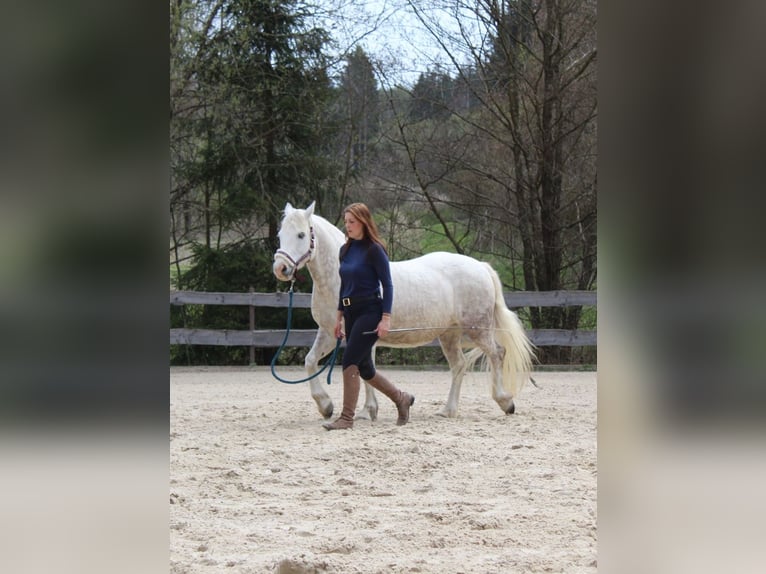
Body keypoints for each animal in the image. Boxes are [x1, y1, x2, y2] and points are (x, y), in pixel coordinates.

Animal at [272, 201, 535, 420]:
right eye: (280, 235)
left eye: (301, 234)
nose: (280, 268)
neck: (338, 279)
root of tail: (480, 266)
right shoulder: (329, 333)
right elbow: (311, 362)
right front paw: (327, 406)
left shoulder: (361, 335)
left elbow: (363, 370)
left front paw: (366, 411)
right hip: (449, 335)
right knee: (459, 365)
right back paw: (448, 411)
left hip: (478, 329)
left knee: (497, 353)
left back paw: (505, 402)